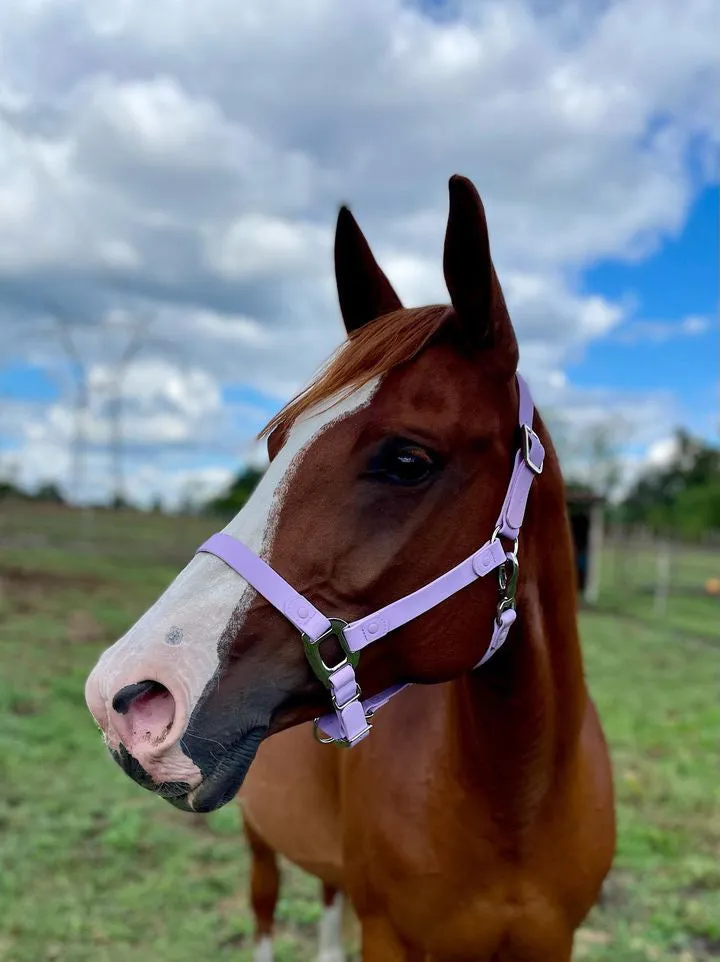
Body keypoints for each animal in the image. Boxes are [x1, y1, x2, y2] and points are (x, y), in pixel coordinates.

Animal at [84, 174, 612, 960]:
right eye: (277, 445)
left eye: (407, 460)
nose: (129, 698)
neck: (517, 803)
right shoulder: (387, 932)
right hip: (260, 840)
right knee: (265, 907)